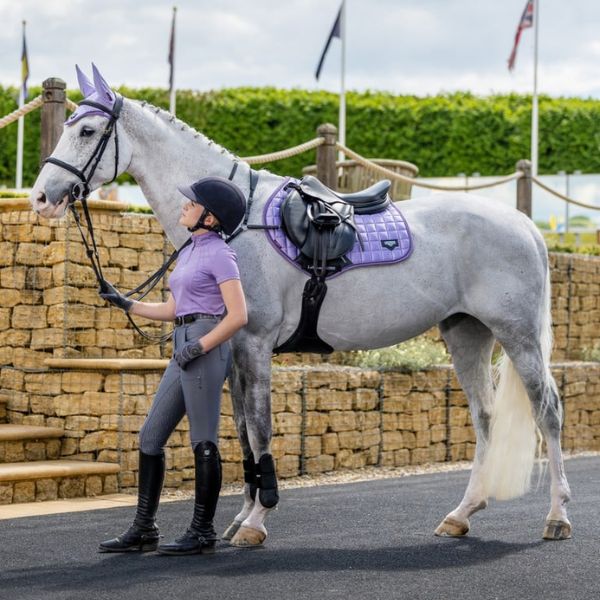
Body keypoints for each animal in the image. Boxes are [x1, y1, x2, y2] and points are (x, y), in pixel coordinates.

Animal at [29, 67, 572, 548]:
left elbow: (261, 428)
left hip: (518, 337)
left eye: (88, 130)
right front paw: (242, 516)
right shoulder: (234, 353)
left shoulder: (254, 344)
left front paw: (255, 522)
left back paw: (557, 517)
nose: (41, 197)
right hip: (466, 334)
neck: (236, 221)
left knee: (548, 411)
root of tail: (525, 225)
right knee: (484, 418)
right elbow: (244, 434)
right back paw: (461, 514)